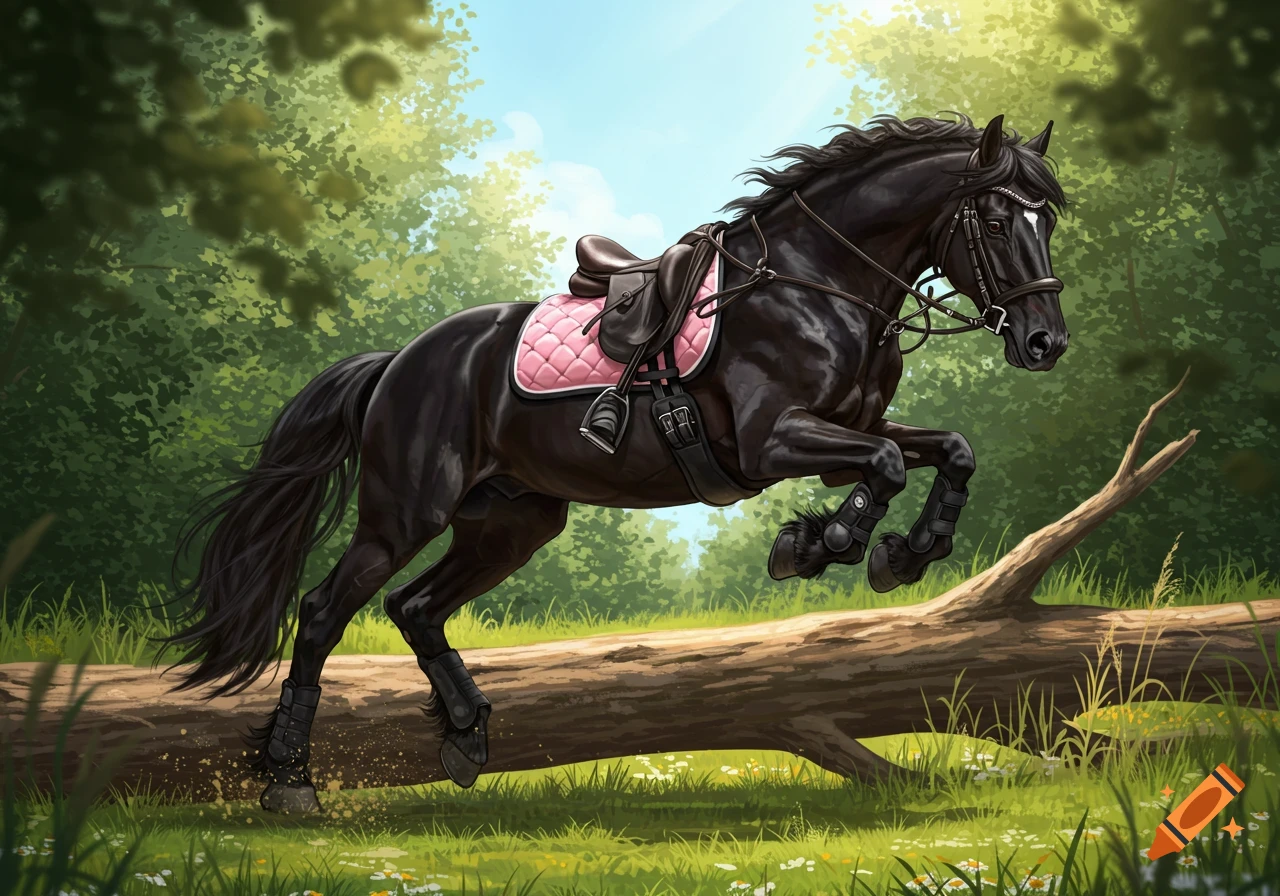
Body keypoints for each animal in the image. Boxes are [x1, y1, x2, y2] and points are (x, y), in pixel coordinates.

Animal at [161, 113, 1069, 813]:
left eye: (1048, 223)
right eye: (996, 223)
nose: (1045, 343)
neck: (818, 283)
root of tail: (398, 363)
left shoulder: (847, 432)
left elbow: (947, 452)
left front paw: (904, 555)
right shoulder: (774, 441)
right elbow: (885, 467)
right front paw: (817, 547)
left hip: (512, 523)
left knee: (414, 607)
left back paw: (467, 736)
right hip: (405, 514)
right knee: (323, 613)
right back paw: (289, 781)